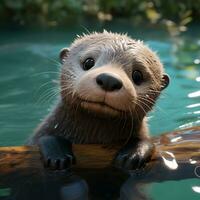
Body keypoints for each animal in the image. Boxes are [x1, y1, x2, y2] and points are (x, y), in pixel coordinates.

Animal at [29, 31, 169, 170]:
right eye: (88, 62)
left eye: (137, 75)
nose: (109, 79)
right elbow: (43, 139)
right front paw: (58, 155)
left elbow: (148, 141)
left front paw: (134, 154)